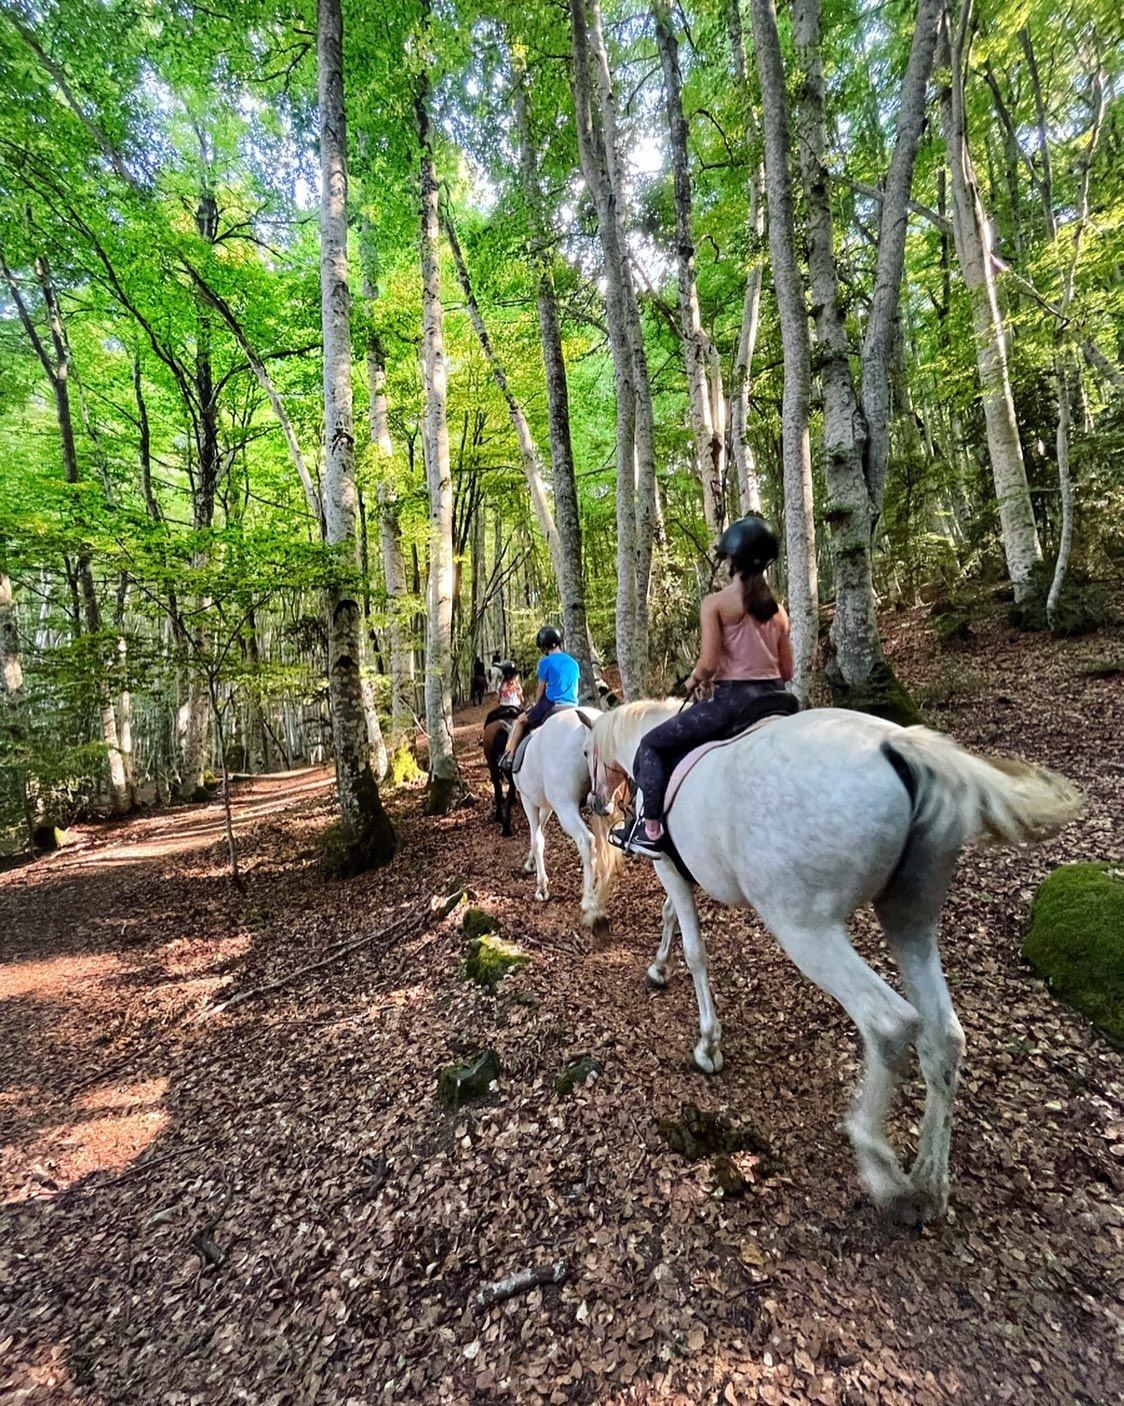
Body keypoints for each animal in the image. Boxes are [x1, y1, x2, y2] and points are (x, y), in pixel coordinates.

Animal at [512, 708, 618, 927]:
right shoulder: (547, 806)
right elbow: (540, 835)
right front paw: (530, 863)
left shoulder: (529, 801)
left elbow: (536, 839)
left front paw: (542, 887)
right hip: (602, 800)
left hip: (566, 806)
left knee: (586, 841)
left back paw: (589, 900)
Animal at [588, 703, 1080, 1220]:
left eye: (587, 754)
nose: (597, 805)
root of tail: (898, 747)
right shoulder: (682, 875)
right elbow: (670, 919)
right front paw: (658, 969)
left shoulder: (668, 867)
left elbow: (695, 951)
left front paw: (707, 1044)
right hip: (910, 917)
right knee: (943, 1036)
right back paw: (929, 1184)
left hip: (807, 930)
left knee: (889, 1024)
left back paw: (882, 1169)